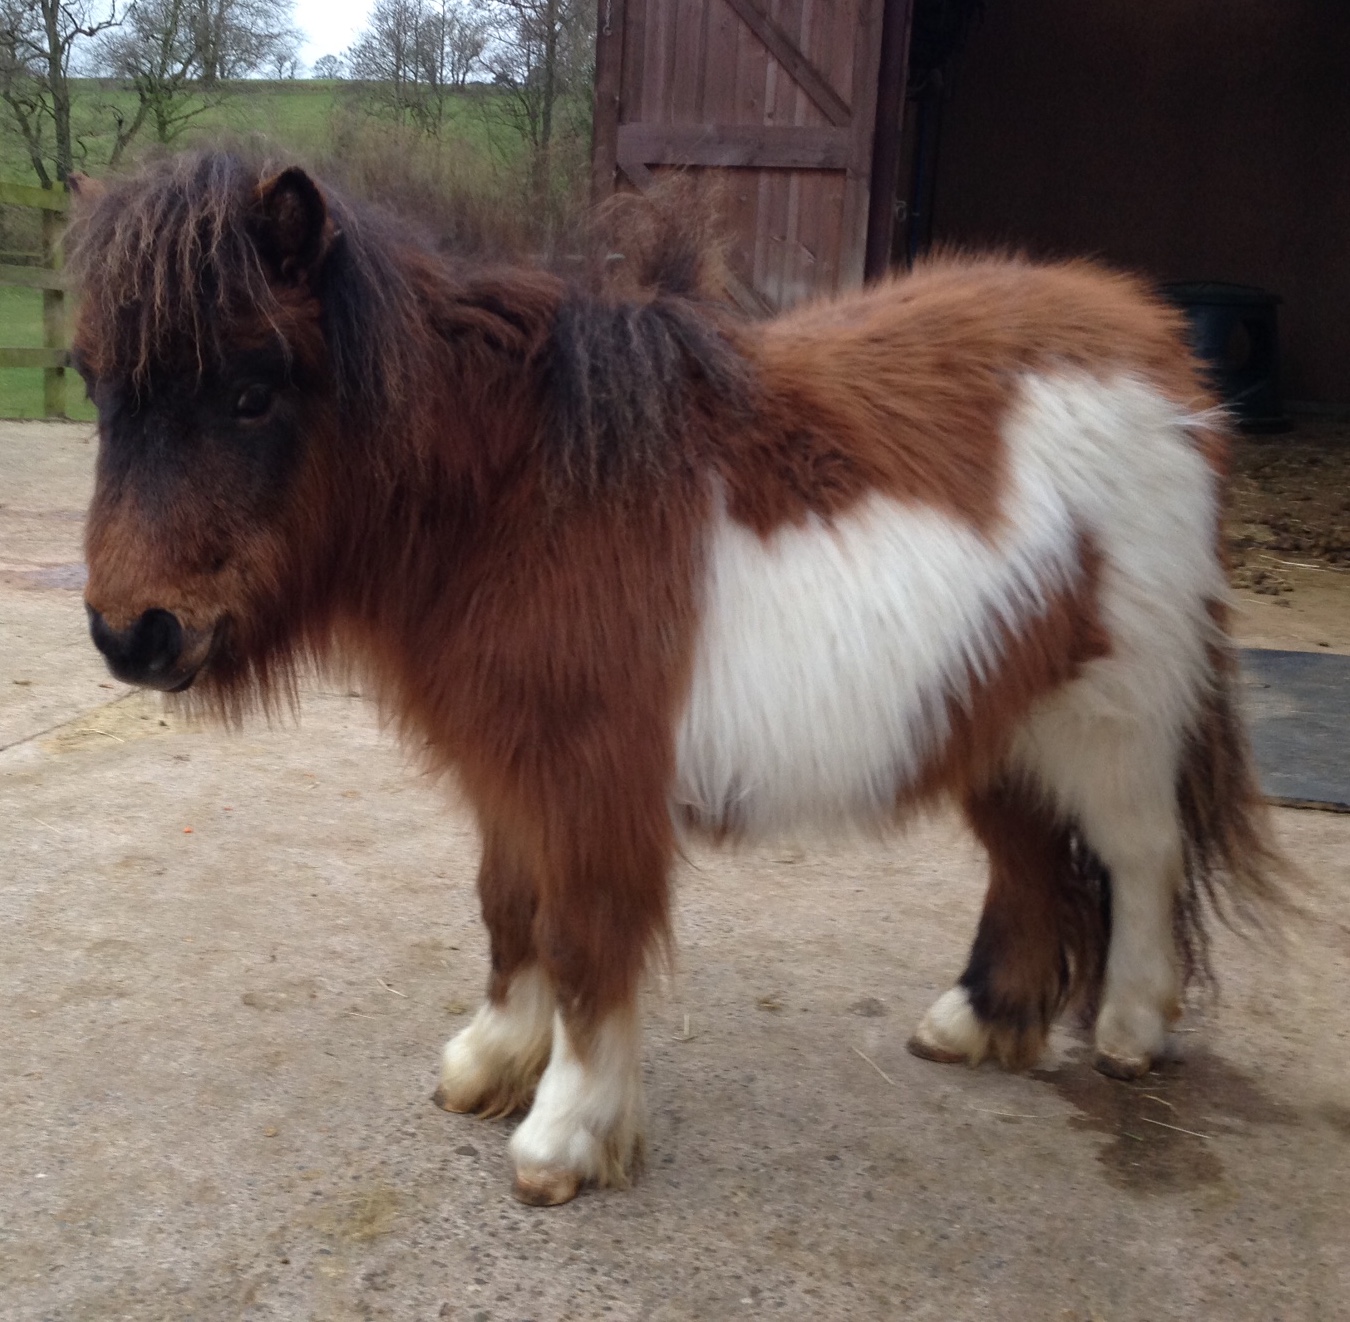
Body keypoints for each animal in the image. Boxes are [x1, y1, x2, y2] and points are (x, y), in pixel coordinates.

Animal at [68, 155, 1279, 1209]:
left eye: (252, 391)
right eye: (98, 386)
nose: (134, 635)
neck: (522, 491)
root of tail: (1158, 353)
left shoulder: (591, 782)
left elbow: (580, 939)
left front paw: (565, 1135)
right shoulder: (513, 773)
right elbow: (508, 912)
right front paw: (490, 1061)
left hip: (1113, 714)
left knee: (1141, 853)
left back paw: (1130, 1031)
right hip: (999, 717)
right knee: (1031, 858)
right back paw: (977, 1023)